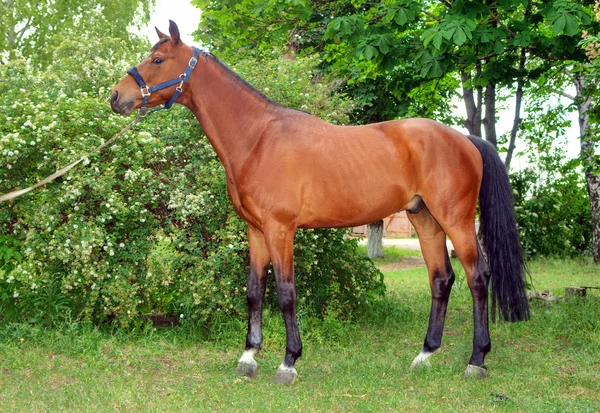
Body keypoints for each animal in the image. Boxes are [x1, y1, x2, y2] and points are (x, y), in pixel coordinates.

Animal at [110, 20, 528, 384]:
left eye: (158, 60)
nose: (116, 96)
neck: (257, 138)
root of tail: (465, 140)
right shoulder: (256, 230)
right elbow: (253, 291)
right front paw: (248, 357)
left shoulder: (280, 229)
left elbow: (285, 293)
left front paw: (288, 362)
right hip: (425, 221)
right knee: (441, 279)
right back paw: (425, 355)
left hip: (456, 220)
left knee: (478, 278)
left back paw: (476, 360)